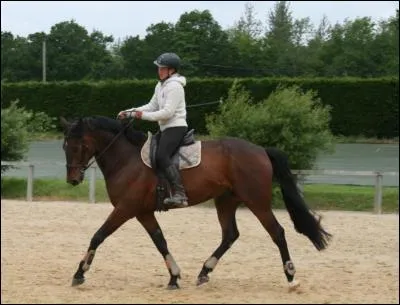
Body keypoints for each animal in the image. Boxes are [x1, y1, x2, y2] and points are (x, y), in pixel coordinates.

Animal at [59, 114, 332, 290]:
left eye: (79, 146)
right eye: (64, 146)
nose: (72, 179)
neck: (127, 159)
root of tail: (261, 150)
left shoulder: (125, 209)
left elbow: (98, 235)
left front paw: (79, 273)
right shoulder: (143, 212)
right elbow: (160, 241)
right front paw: (174, 277)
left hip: (257, 202)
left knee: (277, 232)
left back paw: (291, 277)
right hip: (226, 201)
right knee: (230, 235)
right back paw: (204, 272)